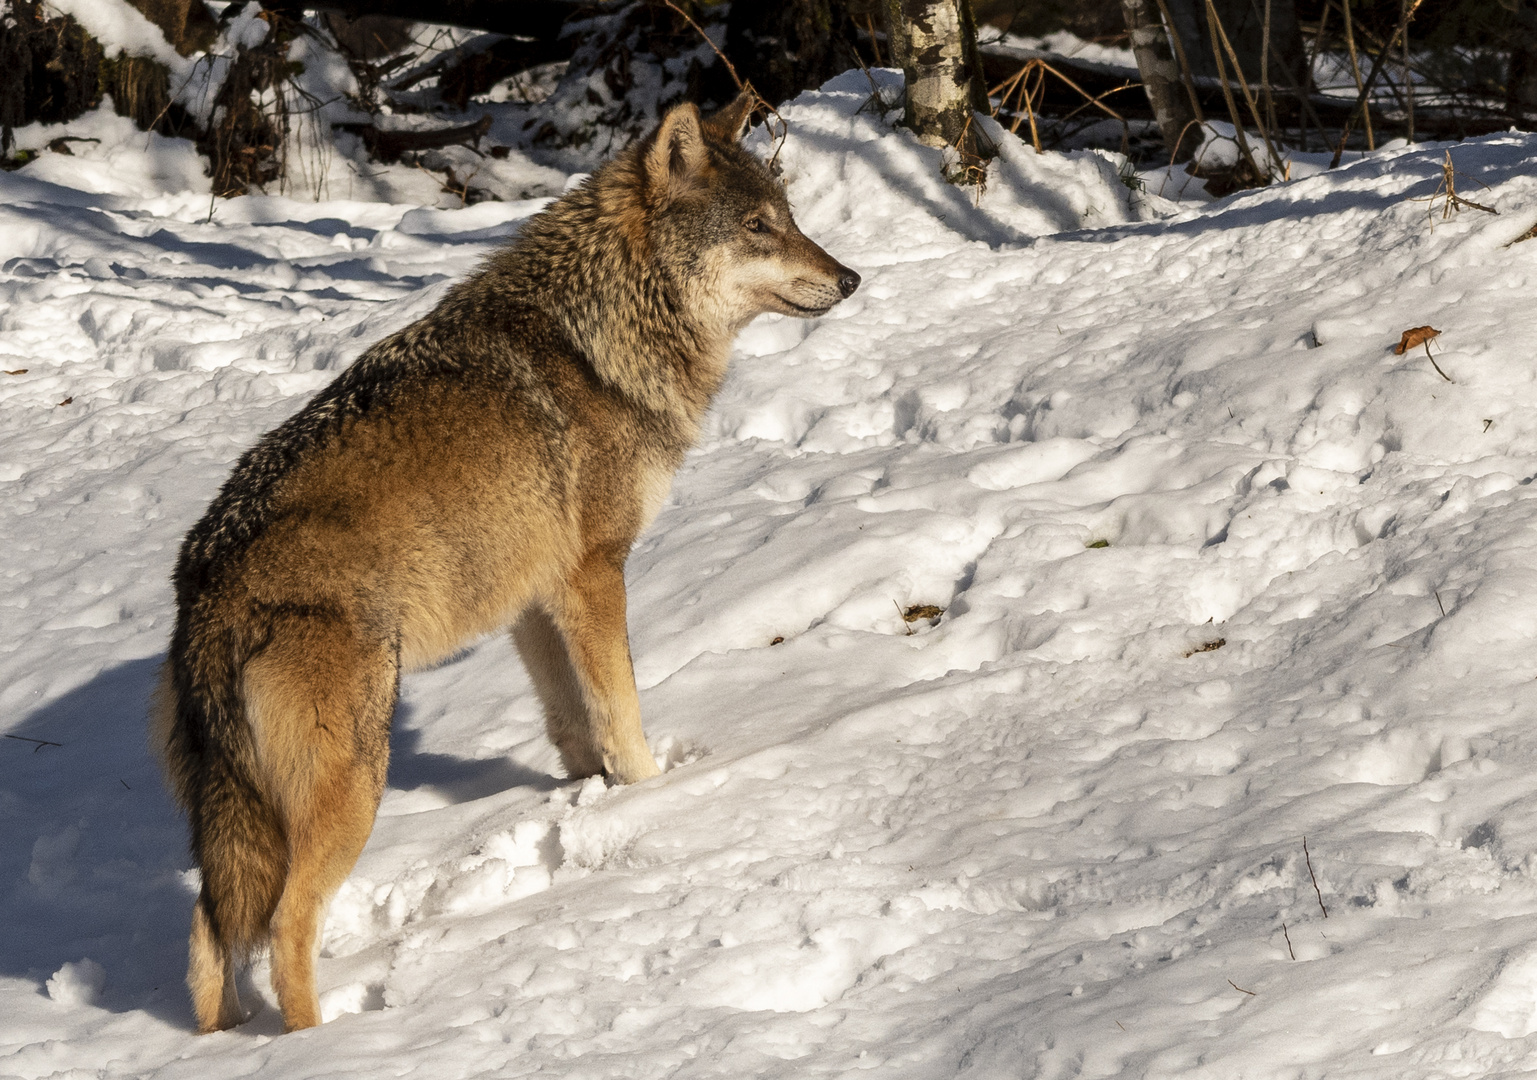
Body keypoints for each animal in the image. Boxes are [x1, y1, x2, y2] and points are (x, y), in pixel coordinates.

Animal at [149, 95, 860, 1038]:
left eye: (789, 218)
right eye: (757, 226)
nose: (850, 278)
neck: (603, 331)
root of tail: (206, 586)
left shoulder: (534, 599)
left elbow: (571, 723)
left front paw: (588, 796)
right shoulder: (596, 573)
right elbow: (622, 713)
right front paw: (650, 796)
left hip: (242, 819)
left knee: (208, 930)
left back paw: (224, 1042)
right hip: (352, 787)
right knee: (286, 926)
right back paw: (323, 1044)